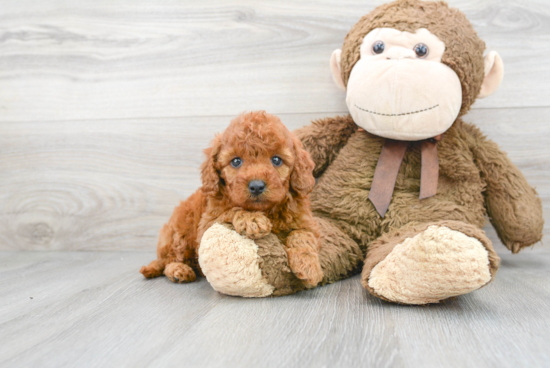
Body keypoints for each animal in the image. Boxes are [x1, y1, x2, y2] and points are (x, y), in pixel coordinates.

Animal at [140, 110, 326, 288]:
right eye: (236, 161)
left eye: (276, 160)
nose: (256, 186)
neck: (266, 210)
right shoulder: (207, 226)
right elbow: (232, 210)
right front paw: (252, 219)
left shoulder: (306, 222)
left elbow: (302, 235)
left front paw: (309, 266)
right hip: (180, 233)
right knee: (170, 259)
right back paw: (179, 270)